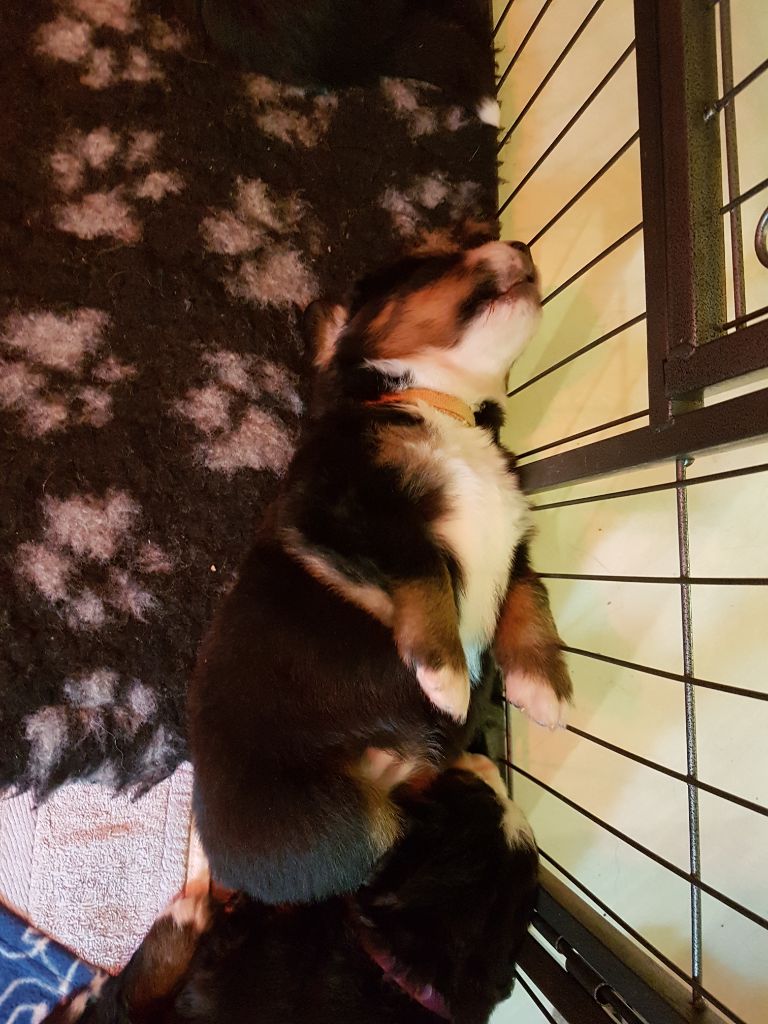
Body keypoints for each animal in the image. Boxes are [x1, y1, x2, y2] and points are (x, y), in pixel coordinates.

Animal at [188, 241, 572, 906]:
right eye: (431, 260)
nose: (521, 245)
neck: (442, 407)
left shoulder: (515, 534)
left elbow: (528, 595)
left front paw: (541, 688)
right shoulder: (332, 510)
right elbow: (423, 564)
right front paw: (445, 673)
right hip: (336, 818)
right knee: (392, 846)